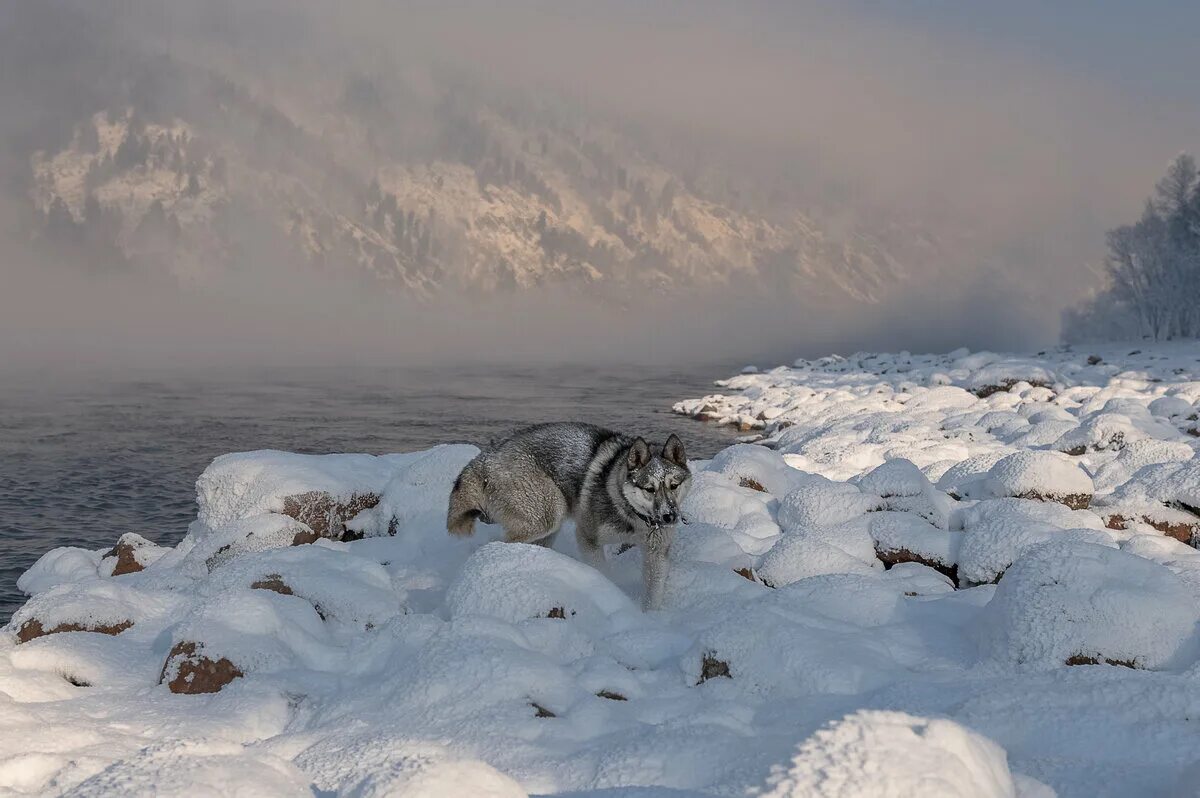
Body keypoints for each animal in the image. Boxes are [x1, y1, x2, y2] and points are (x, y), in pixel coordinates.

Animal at [448, 422, 696, 609]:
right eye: (649, 489)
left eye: (674, 486)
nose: (669, 516)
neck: (632, 515)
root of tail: (485, 458)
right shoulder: (588, 538)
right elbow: (602, 571)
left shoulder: (657, 553)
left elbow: (654, 594)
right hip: (547, 516)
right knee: (495, 542)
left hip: (547, 529)